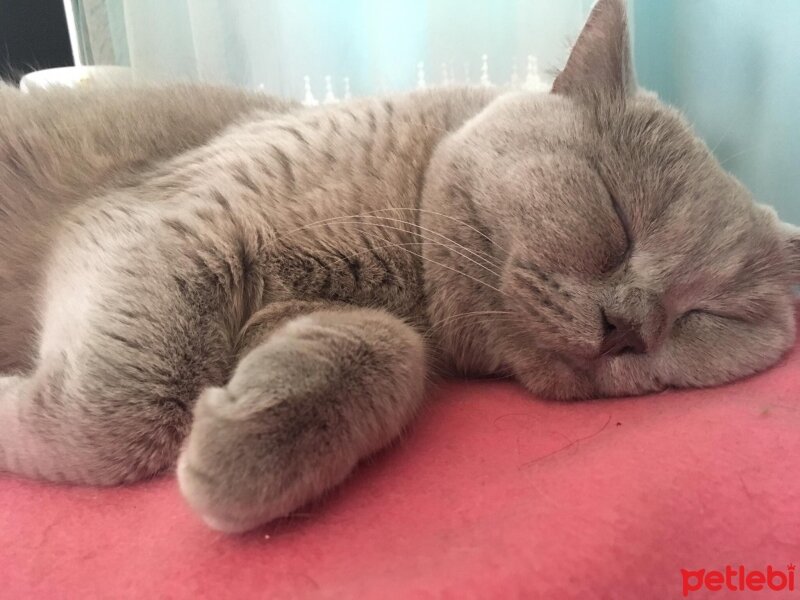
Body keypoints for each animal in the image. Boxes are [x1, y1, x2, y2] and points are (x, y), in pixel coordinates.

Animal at [1, 1, 800, 536]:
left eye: (708, 316)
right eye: (616, 219)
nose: (631, 326)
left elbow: (386, 353)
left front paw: (243, 446)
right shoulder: (169, 220)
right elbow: (126, 418)